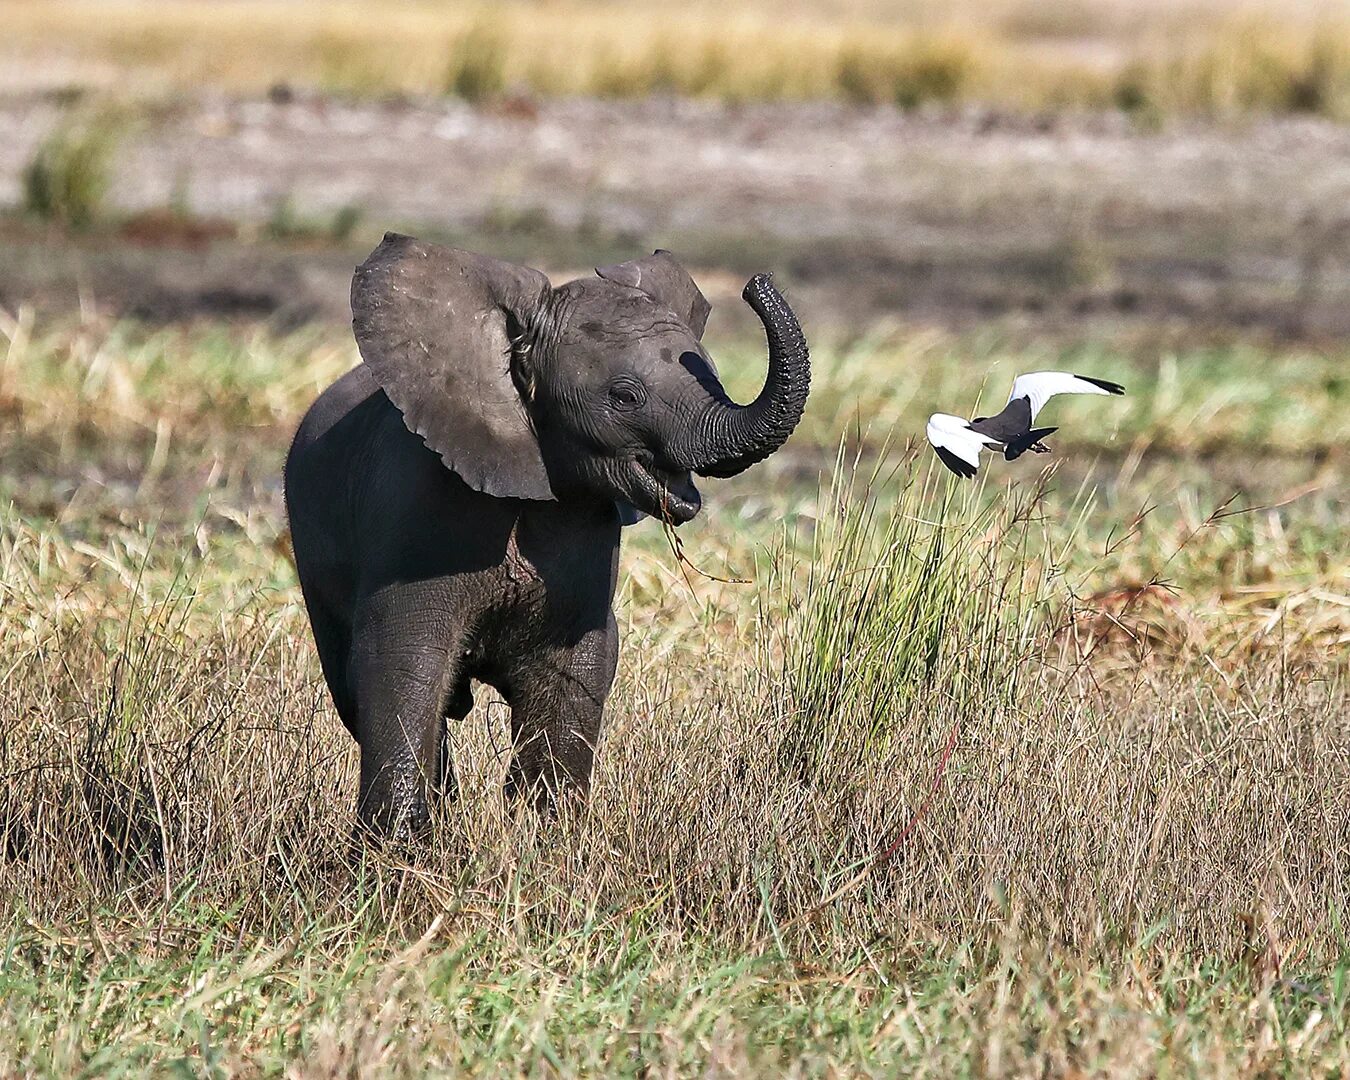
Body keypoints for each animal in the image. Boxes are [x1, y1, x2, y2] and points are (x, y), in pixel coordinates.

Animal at [284, 232, 804, 831]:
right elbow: (403, 659)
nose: (757, 282)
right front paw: (397, 848)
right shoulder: (413, 513)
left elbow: (574, 668)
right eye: (625, 396)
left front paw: (543, 836)